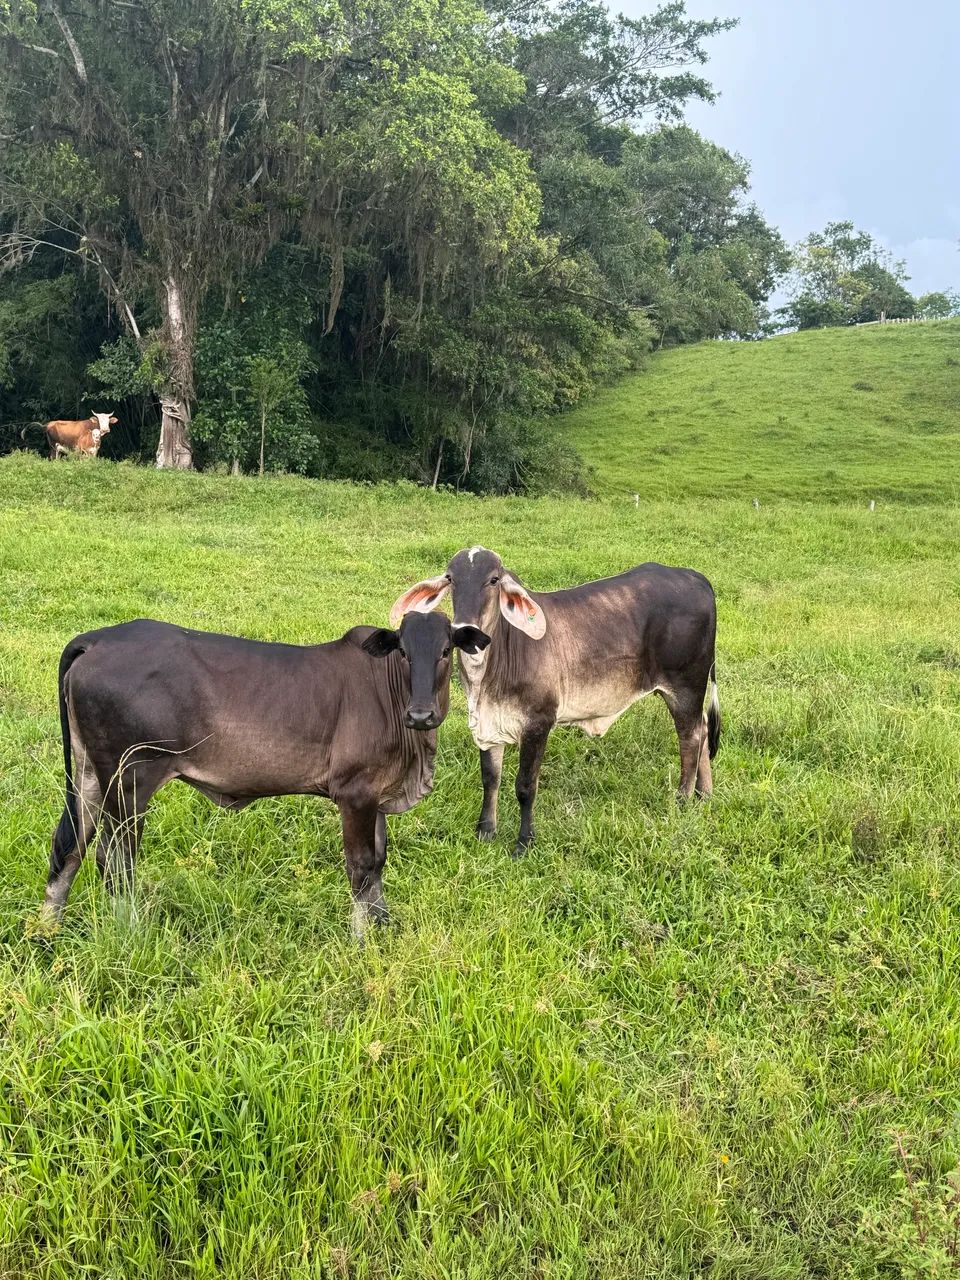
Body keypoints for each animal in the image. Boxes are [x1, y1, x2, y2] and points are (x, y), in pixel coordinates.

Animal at [40, 612, 490, 934]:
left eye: (446, 651)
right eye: (404, 653)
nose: (421, 714)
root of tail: (97, 639)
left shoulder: (377, 794)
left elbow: (379, 864)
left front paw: (384, 927)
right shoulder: (355, 793)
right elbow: (361, 868)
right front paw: (361, 940)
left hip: (89, 775)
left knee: (69, 846)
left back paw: (46, 932)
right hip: (129, 780)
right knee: (115, 859)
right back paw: (131, 930)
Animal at [390, 547, 719, 857]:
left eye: (494, 580)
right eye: (450, 578)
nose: (463, 629)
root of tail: (694, 576)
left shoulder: (538, 723)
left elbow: (525, 786)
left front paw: (523, 843)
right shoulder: (487, 724)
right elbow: (490, 778)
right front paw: (485, 831)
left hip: (686, 686)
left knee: (691, 738)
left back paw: (683, 800)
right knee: (704, 730)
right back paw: (705, 795)